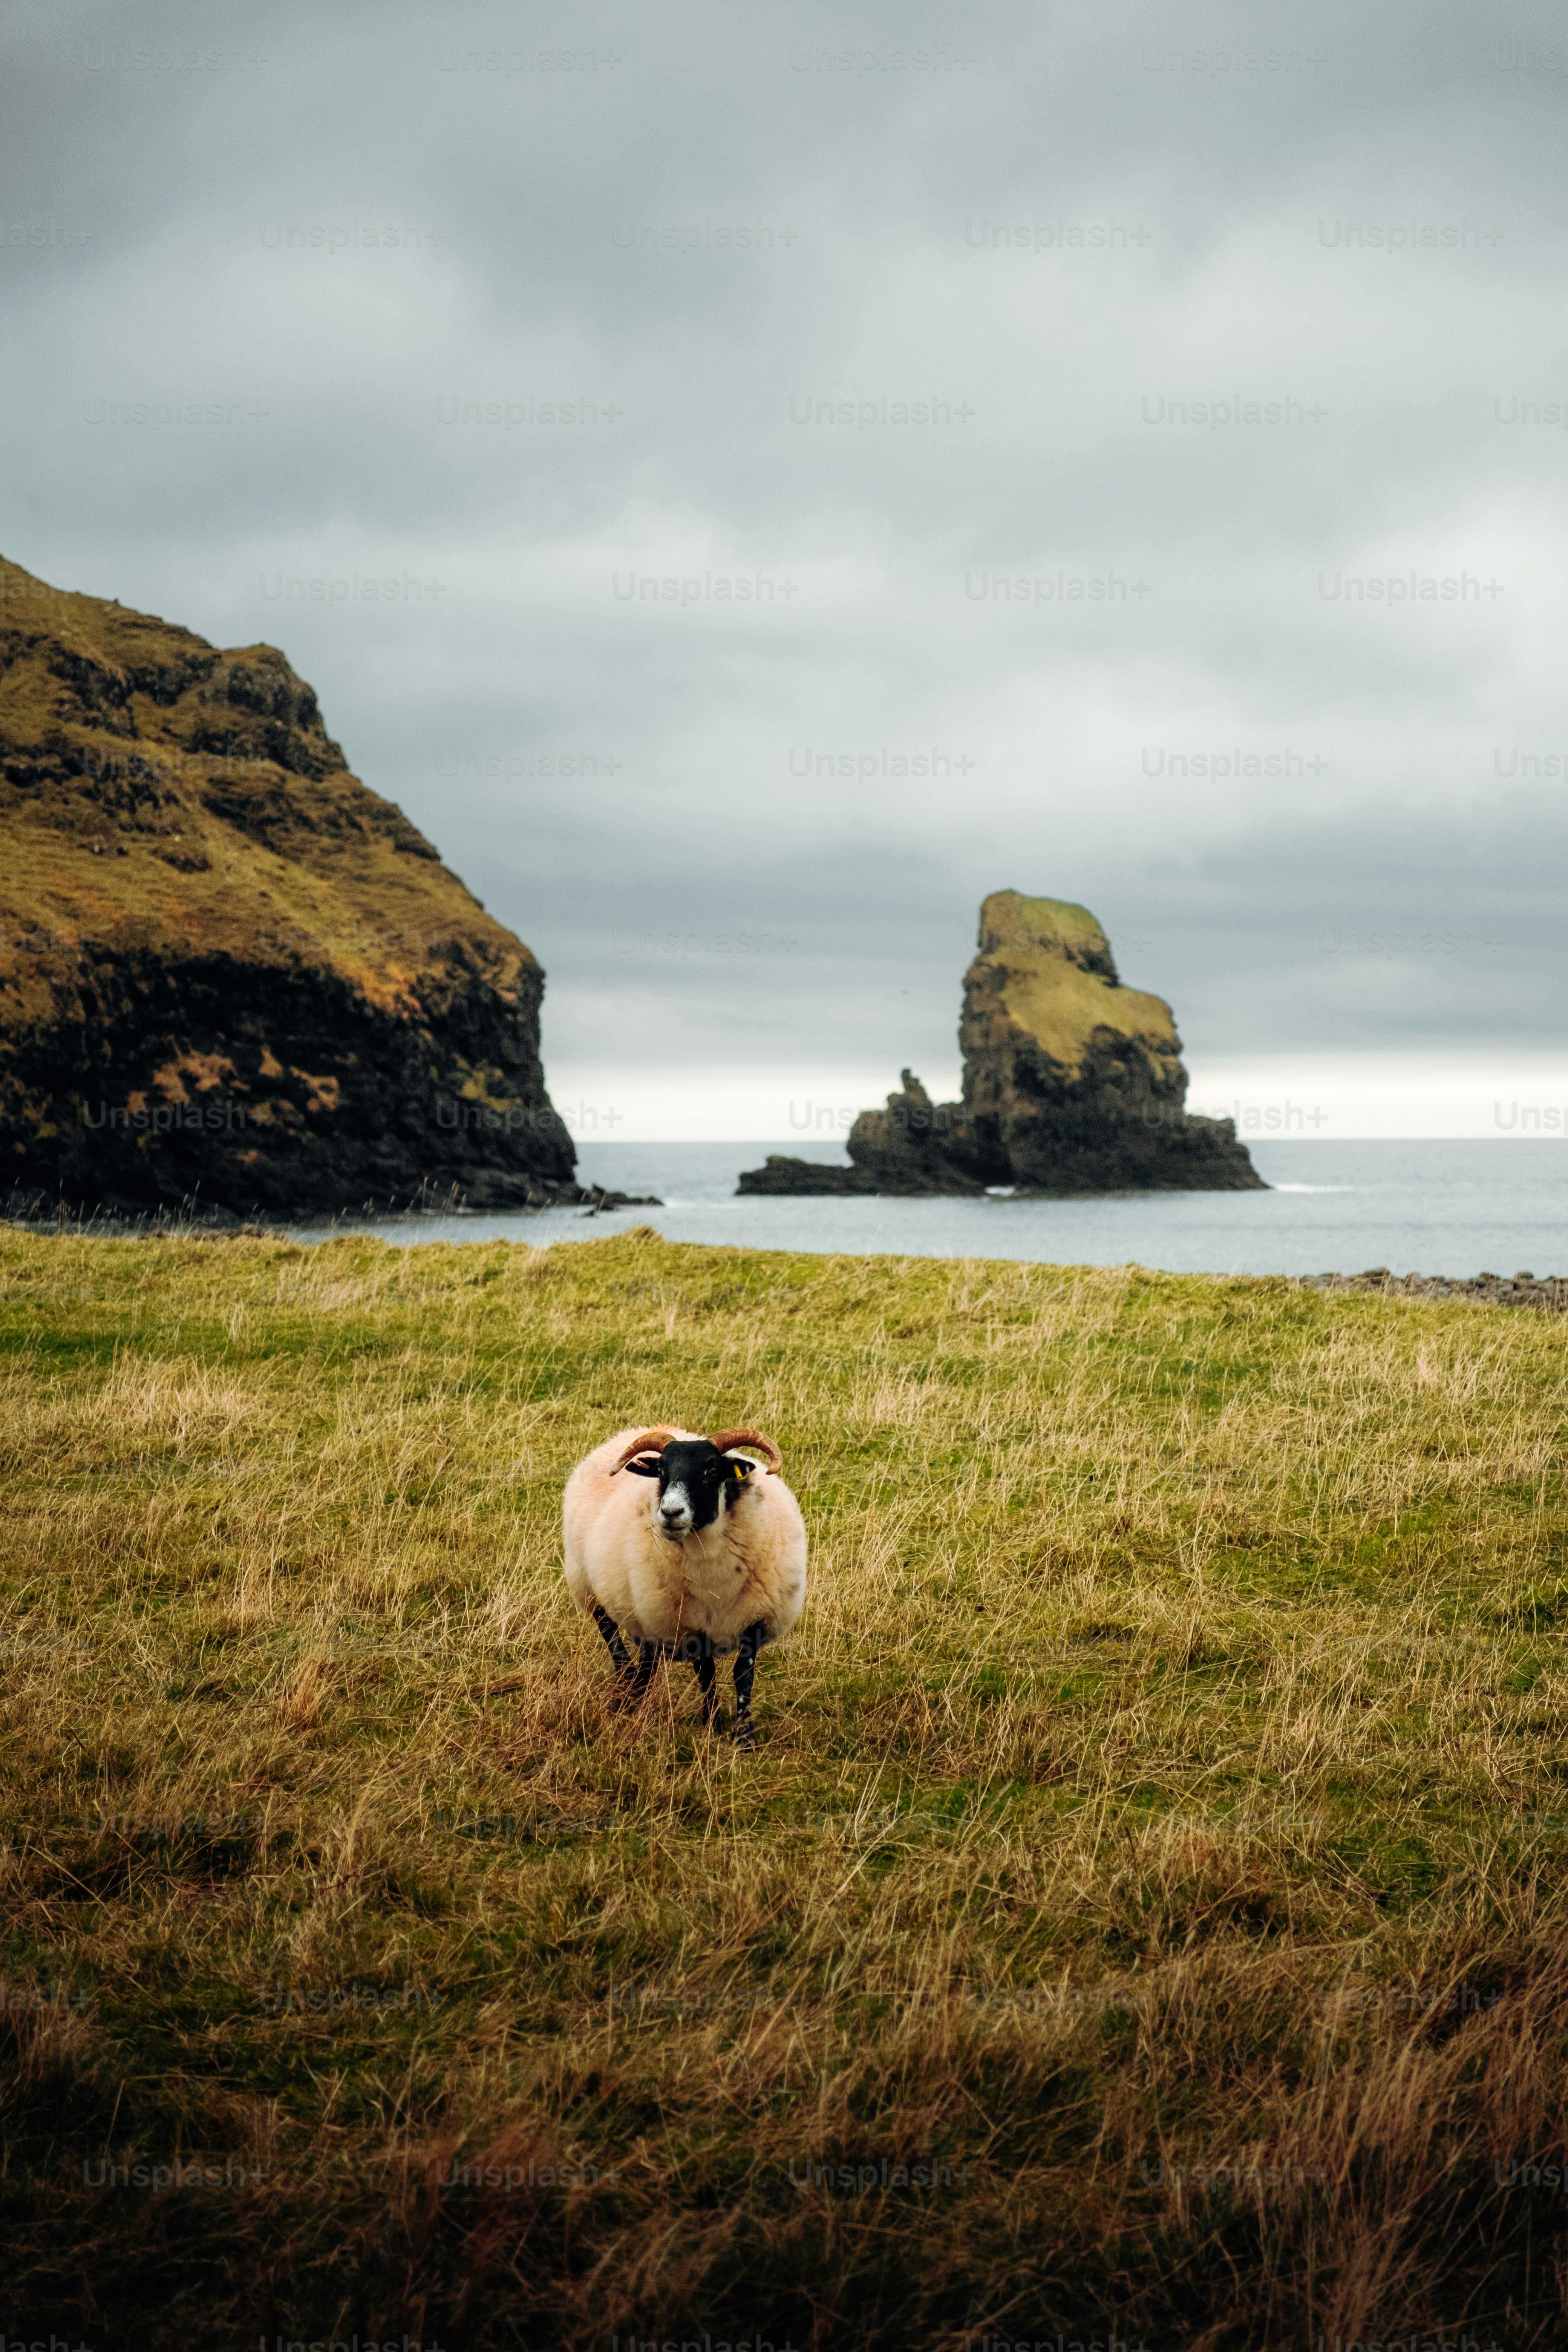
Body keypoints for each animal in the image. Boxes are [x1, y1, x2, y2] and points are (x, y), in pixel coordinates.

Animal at [563, 1424, 806, 1749]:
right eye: (661, 1472)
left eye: (712, 1470)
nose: (671, 1513)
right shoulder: (694, 1624)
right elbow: (707, 1675)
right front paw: (713, 1726)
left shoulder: (756, 1619)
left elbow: (743, 1676)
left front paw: (745, 1738)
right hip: (591, 1587)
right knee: (615, 1642)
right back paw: (628, 1695)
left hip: (645, 1611)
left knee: (647, 1659)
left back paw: (636, 1695)